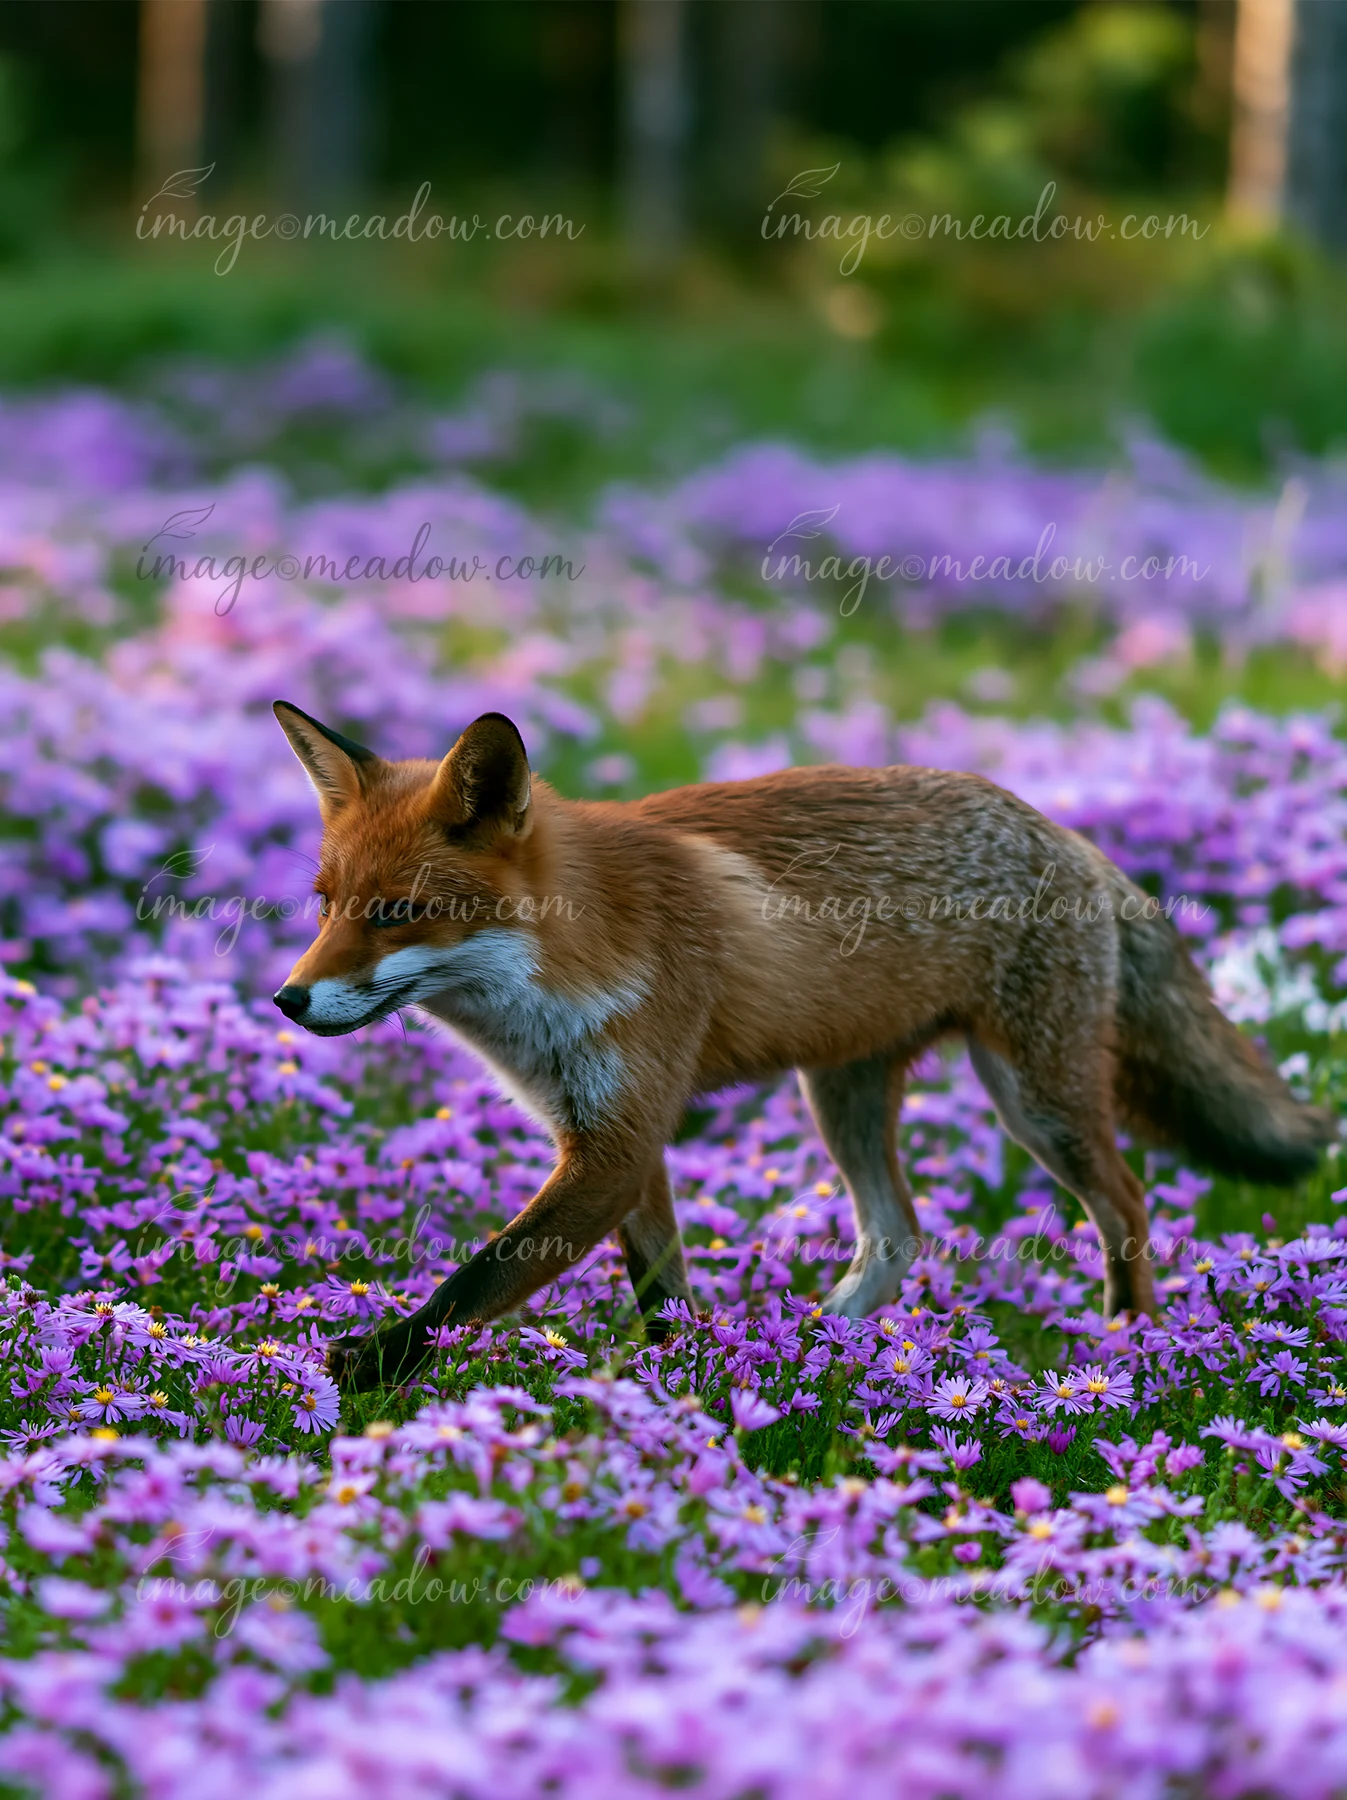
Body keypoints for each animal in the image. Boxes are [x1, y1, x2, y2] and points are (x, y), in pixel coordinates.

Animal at [270, 700, 1336, 1392]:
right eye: (323, 905)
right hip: (840, 1096)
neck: (559, 963)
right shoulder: (616, 1132)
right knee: (899, 1230)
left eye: (396, 914)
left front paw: (369, 1366)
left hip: (1034, 1102)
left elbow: (480, 1274)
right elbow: (659, 1290)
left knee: (1126, 1201)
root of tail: (1067, 834)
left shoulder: (615, 1141)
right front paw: (677, 1384)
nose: (287, 999)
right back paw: (817, 1347)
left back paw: (1130, 1349)